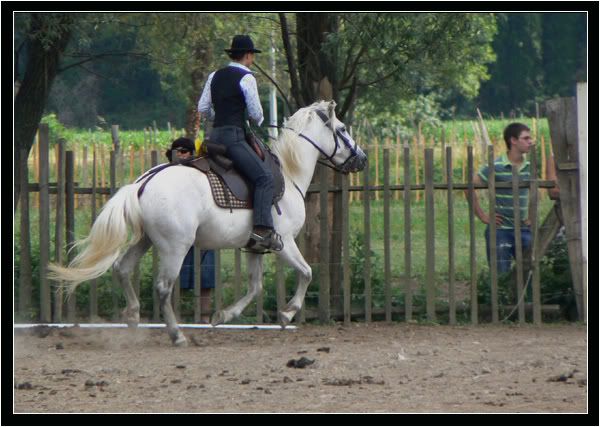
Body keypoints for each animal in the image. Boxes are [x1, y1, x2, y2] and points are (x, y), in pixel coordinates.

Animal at [48, 101, 366, 348]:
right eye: (342, 130)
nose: (361, 159)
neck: (288, 173)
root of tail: (142, 183)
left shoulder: (255, 247)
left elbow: (255, 287)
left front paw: (223, 315)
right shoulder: (284, 242)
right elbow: (306, 272)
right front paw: (288, 313)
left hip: (145, 240)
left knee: (122, 269)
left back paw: (134, 318)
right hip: (175, 247)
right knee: (163, 287)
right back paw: (176, 335)